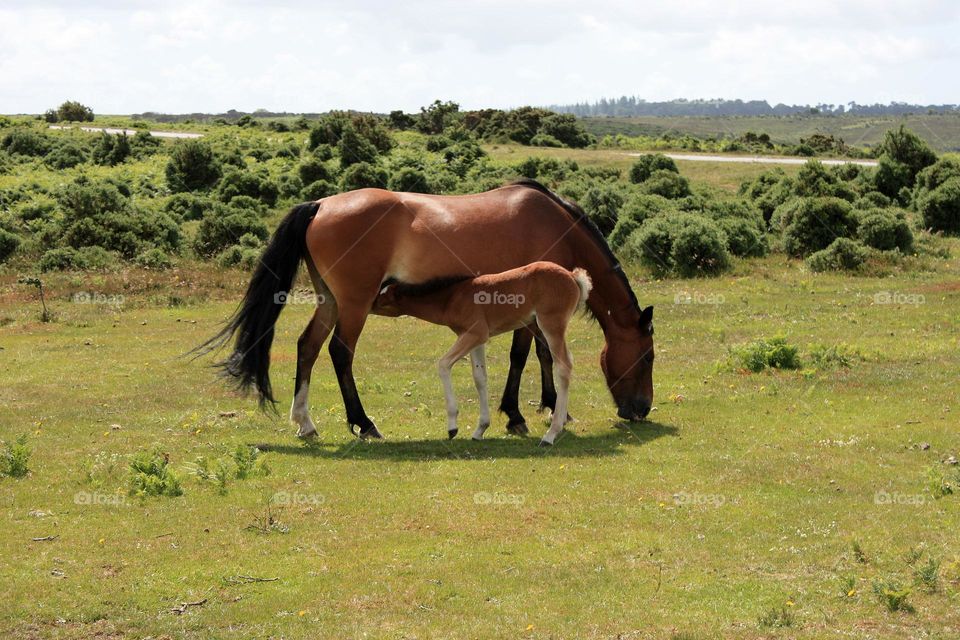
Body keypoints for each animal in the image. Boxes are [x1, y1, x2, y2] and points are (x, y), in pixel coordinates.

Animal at [376, 260, 592, 444]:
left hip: (551, 325)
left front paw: (452, 427)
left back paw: (551, 434)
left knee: (564, 366)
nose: (370, 303)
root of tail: (572, 276)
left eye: (383, 299)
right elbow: (480, 377)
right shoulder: (476, 339)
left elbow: (443, 364)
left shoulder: (475, 333)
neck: (452, 298)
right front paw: (480, 429)